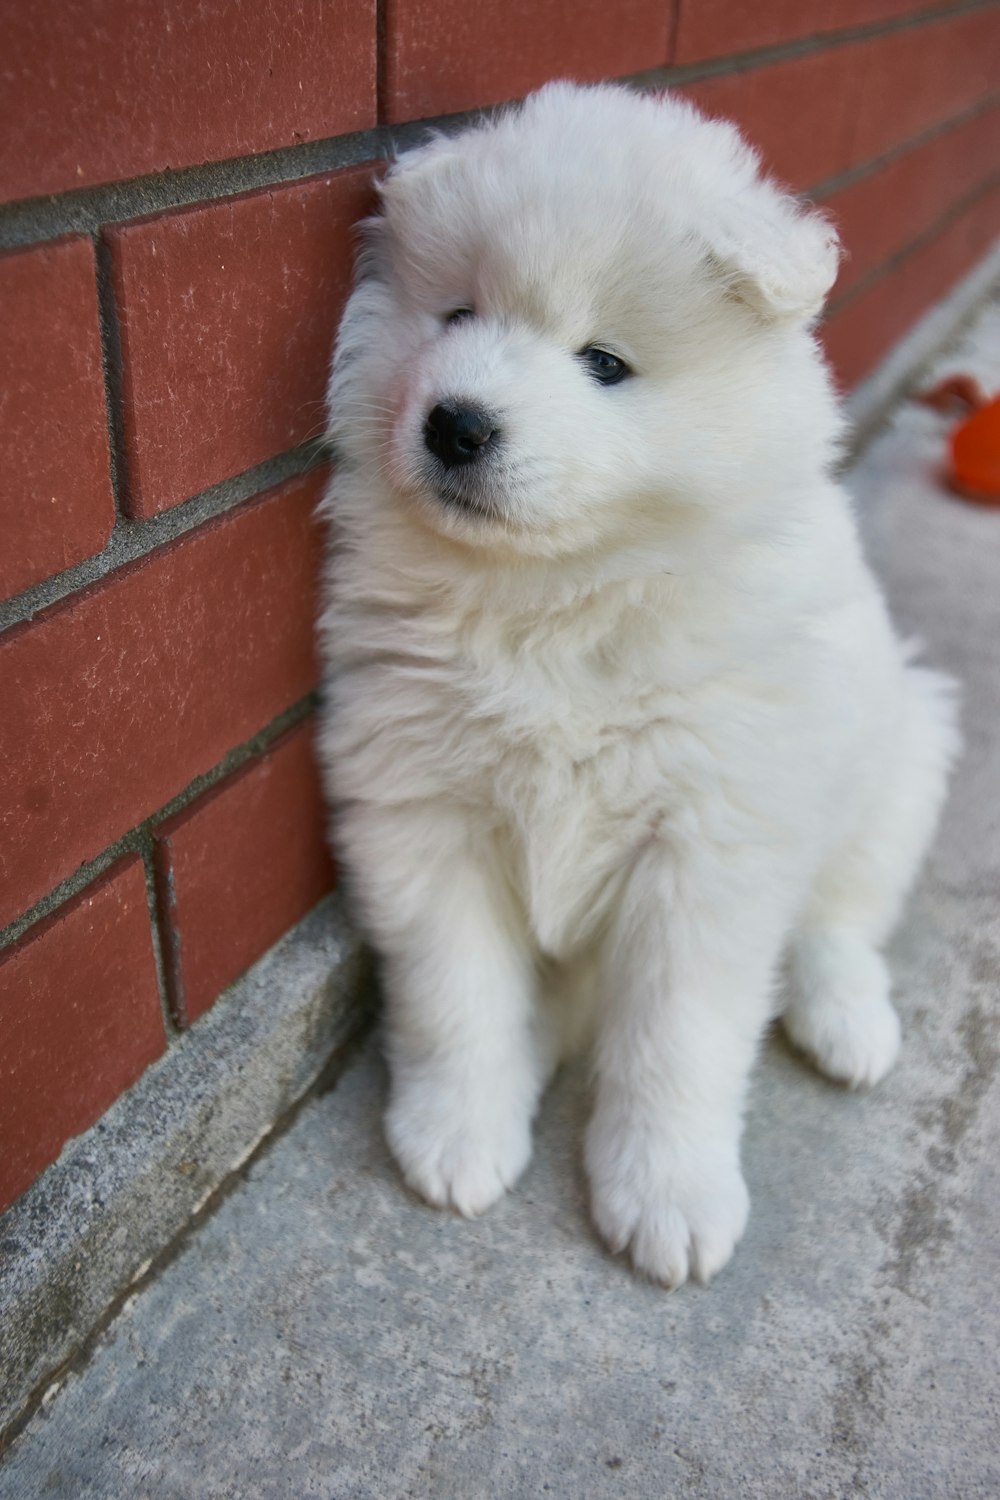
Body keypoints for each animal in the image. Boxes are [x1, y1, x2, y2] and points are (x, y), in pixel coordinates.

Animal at [320, 82, 959, 1284]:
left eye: (605, 363)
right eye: (456, 316)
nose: (455, 422)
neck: (560, 594)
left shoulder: (709, 839)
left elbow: (678, 1038)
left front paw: (669, 1197)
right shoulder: (422, 806)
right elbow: (455, 990)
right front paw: (459, 1133)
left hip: (905, 749)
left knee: (842, 913)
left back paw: (847, 1022)